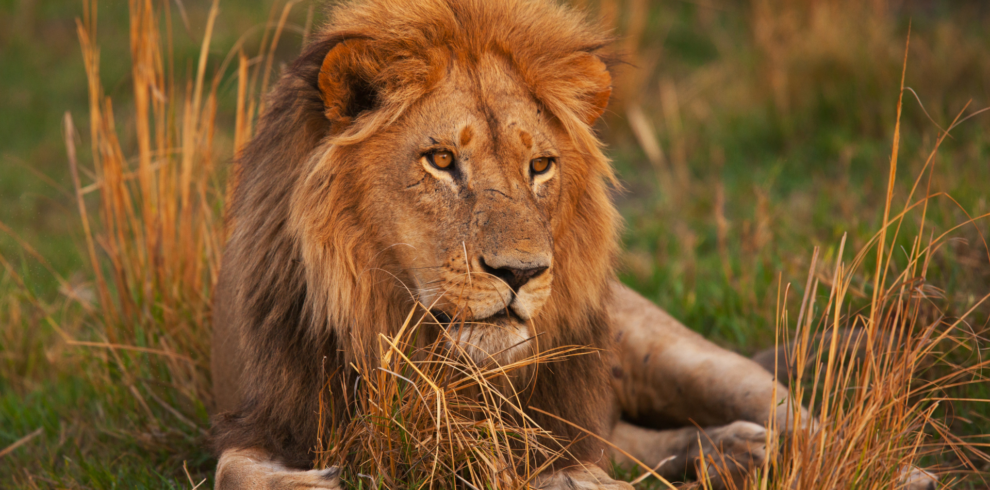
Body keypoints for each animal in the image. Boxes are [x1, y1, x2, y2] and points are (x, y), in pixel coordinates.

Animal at [209, 0, 836, 490]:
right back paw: (732, 453)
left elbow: (577, 470)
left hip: (684, 357)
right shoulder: (266, 414)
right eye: (441, 160)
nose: (521, 273)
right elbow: (231, 469)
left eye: (539, 166)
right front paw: (311, 478)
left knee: (806, 423)